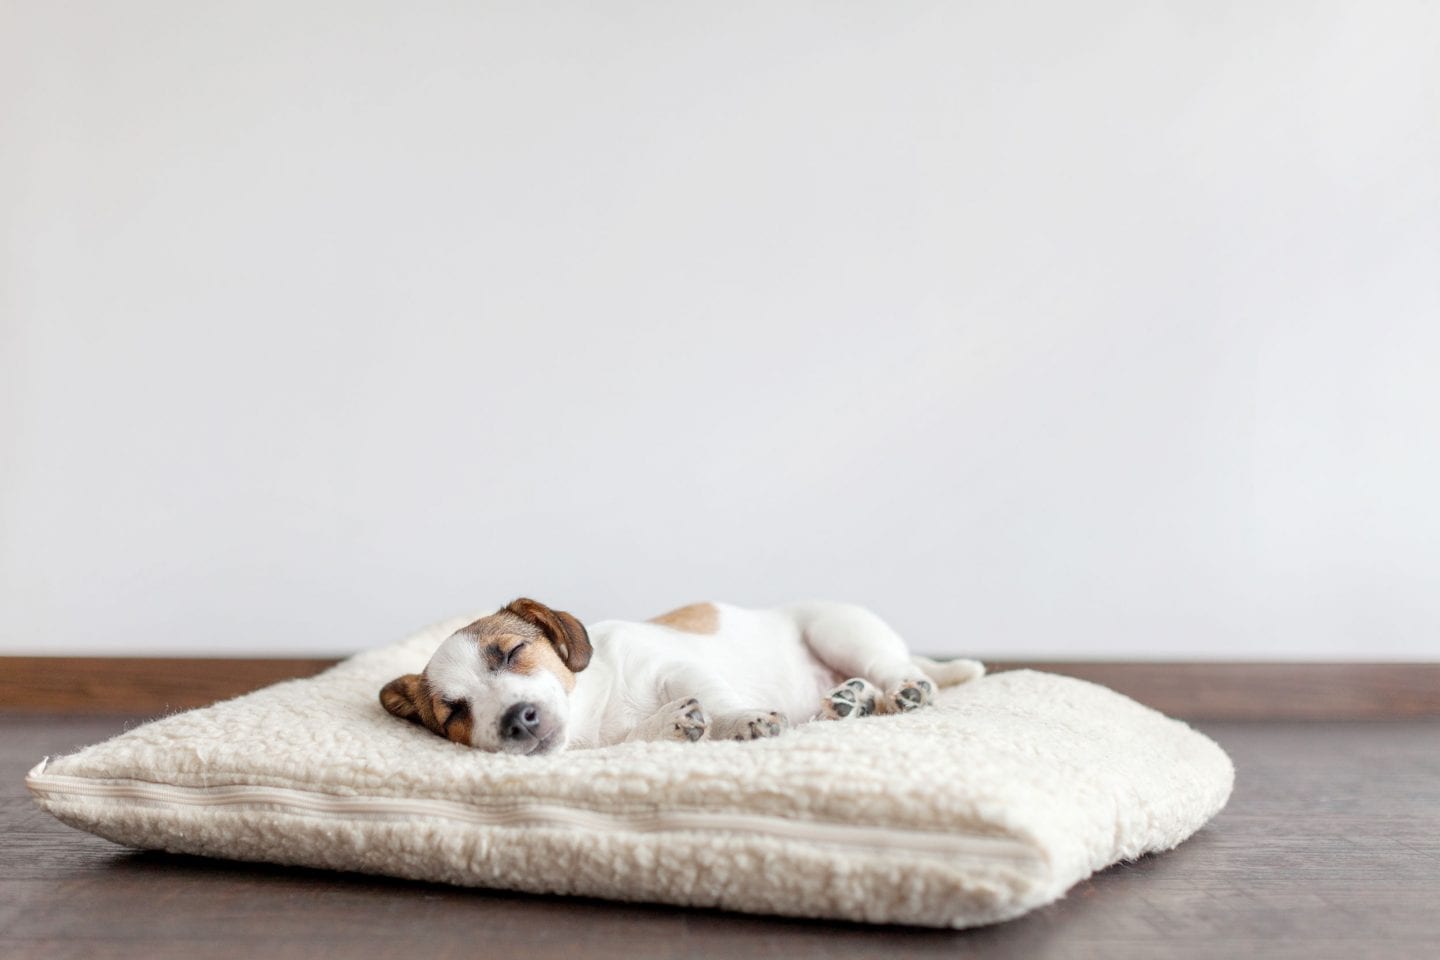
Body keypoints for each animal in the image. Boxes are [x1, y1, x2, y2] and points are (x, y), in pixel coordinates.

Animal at [377, 595, 984, 754]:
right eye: (454, 712)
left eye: (510, 653)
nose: (517, 721)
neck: (594, 710)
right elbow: (656, 730)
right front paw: (674, 724)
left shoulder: (678, 667)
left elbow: (714, 696)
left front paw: (741, 719)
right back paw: (850, 701)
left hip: (841, 630)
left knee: (895, 668)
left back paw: (907, 687)